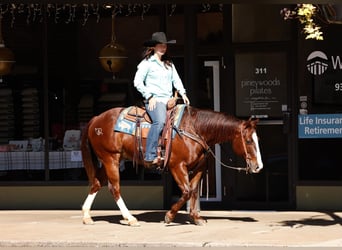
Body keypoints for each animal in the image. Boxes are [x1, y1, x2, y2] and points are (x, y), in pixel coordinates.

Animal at [81, 104, 264, 226]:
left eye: (257, 139)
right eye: (248, 140)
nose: (258, 166)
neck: (195, 129)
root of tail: (96, 119)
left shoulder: (199, 168)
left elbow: (193, 191)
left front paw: (196, 218)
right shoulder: (177, 166)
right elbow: (186, 192)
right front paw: (169, 216)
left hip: (111, 160)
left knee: (96, 183)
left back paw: (86, 216)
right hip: (110, 158)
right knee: (114, 188)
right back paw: (130, 218)